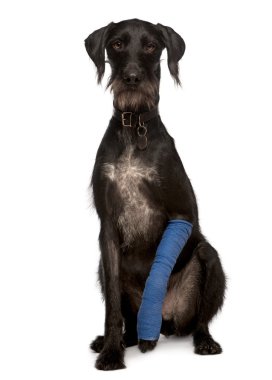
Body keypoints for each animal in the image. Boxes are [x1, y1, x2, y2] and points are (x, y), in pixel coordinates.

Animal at [84, 18, 225, 372]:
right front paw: (111, 352)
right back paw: (126, 338)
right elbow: (112, 310)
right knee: (131, 322)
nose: (132, 78)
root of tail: (165, 320)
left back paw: (204, 341)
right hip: (103, 270)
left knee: (200, 320)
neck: (135, 128)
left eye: (150, 45)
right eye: (117, 44)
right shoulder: (107, 230)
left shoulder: (183, 214)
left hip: (208, 260)